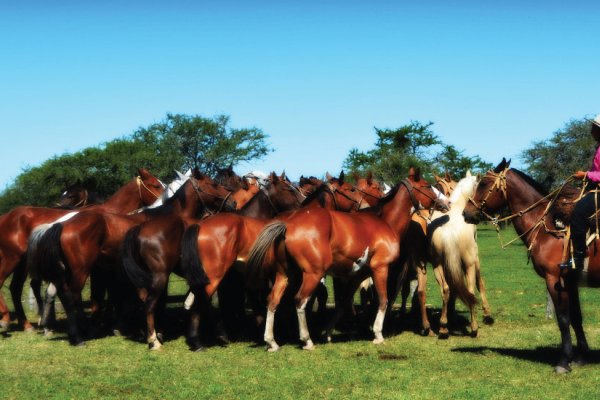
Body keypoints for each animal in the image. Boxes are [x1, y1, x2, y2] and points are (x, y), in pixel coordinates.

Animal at [0, 168, 164, 332]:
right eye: (156, 185)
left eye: (70, 195)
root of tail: (6, 217)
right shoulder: (97, 269)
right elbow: (99, 293)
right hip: (11, 259)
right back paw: (8, 319)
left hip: (22, 264)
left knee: (16, 288)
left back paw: (29, 324)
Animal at [28, 172, 234, 344]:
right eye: (214, 184)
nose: (232, 202)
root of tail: (61, 224)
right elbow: (155, 300)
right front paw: (155, 332)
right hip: (81, 269)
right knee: (72, 296)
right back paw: (78, 335)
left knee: (60, 294)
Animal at [246, 170, 448, 352]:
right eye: (427, 186)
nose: (446, 202)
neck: (385, 223)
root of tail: (288, 223)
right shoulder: (380, 269)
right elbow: (383, 300)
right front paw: (378, 334)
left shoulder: (358, 276)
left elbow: (343, 303)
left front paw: (327, 333)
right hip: (312, 274)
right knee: (300, 301)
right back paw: (306, 340)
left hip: (285, 274)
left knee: (272, 301)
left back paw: (271, 342)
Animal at [462, 158, 596, 374]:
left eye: (483, 184)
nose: (466, 212)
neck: (547, 229)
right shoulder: (570, 281)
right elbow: (576, 317)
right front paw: (582, 356)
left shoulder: (555, 279)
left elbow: (563, 319)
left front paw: (564, 361)